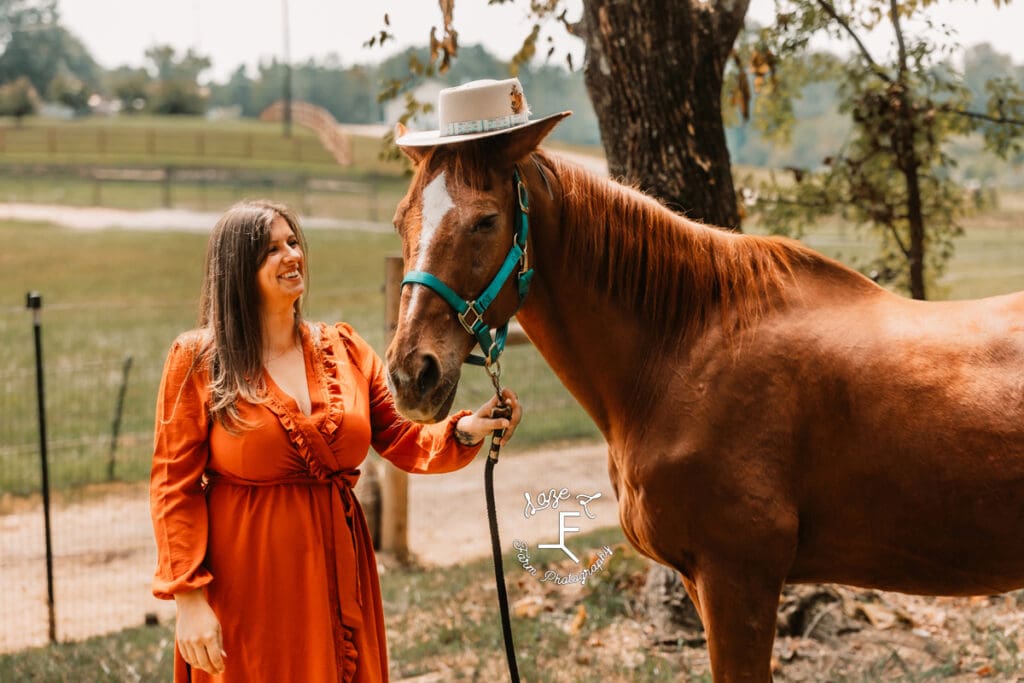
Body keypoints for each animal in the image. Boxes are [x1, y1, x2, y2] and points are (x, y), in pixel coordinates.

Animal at [385, 114, 1024, 679]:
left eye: (486, 221)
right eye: (399, 221)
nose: (410, 373)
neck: (685, 350)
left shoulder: (738, 578)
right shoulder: (703, 582)